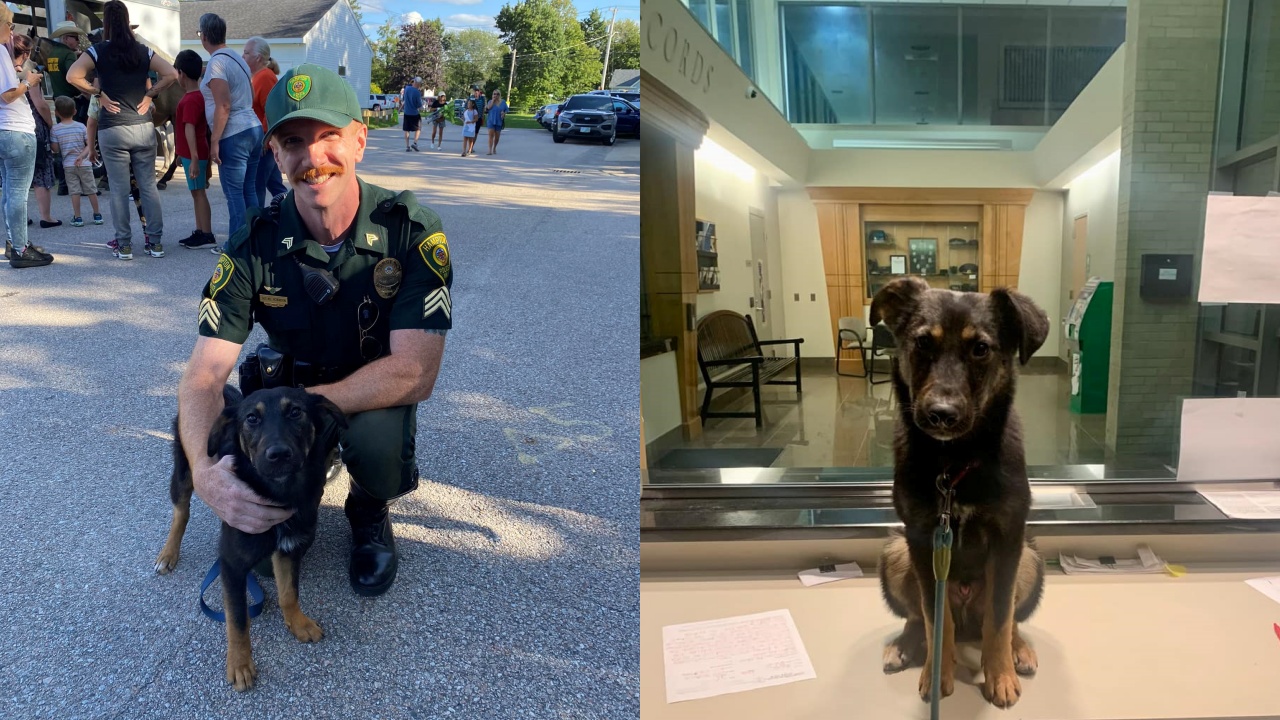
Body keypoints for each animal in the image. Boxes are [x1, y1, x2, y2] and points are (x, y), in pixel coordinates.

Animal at [152, 386, 348, 691]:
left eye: (296, 412)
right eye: (252, 418)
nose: (278, 454)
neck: (279, 493)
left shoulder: (289, 548)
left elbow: (289, 592)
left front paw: (298, 623)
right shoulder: (232, 565)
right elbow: (238, 619)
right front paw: (240, 663)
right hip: (185, 469)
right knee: (181, 512)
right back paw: (168, 553)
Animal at [870, 275, 1049, 707]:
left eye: (981, 348)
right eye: (922, 343)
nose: (941, 415)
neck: (953, 465)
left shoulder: (1008, 536)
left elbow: (1000, 618)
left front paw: (999, 675)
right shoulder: (922, 538)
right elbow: (936, 620)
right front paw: (938, 673)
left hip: (1030, 558)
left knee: (1006, 618)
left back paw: (1018, 650)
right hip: (895, 553)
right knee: (920, 616)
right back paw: (905, 646)